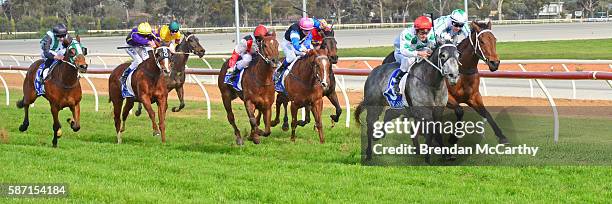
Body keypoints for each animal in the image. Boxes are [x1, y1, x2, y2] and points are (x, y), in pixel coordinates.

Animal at [380, 21, 510, 145]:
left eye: (494, 40)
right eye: (482, 41)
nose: (495, 63)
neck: (462, 73)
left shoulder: (474, 97)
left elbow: (486, 113)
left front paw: (502, 136)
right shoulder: (446, 99)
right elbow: (459, 111)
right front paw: (453, 137)